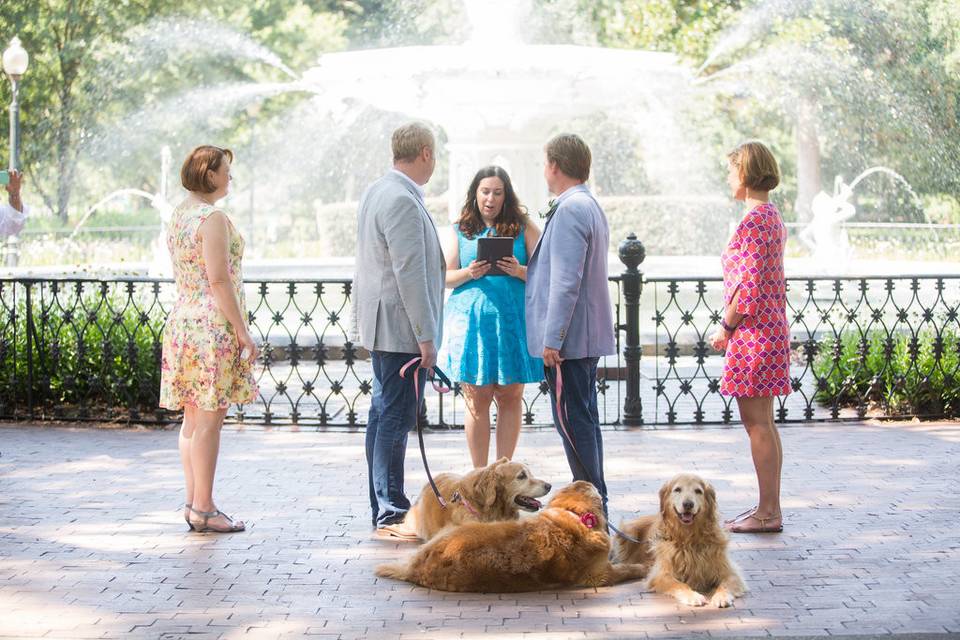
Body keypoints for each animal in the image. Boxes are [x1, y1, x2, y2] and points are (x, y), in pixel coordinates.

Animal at [612, 472, 748, 608]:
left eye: (698, 491)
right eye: (677, 489)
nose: (688, 504)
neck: (689, 538)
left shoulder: (730, 572)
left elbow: (724, 585)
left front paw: (721, 596)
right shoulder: (661, 574)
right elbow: (679, 585)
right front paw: (693, 596)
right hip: (629, 531)